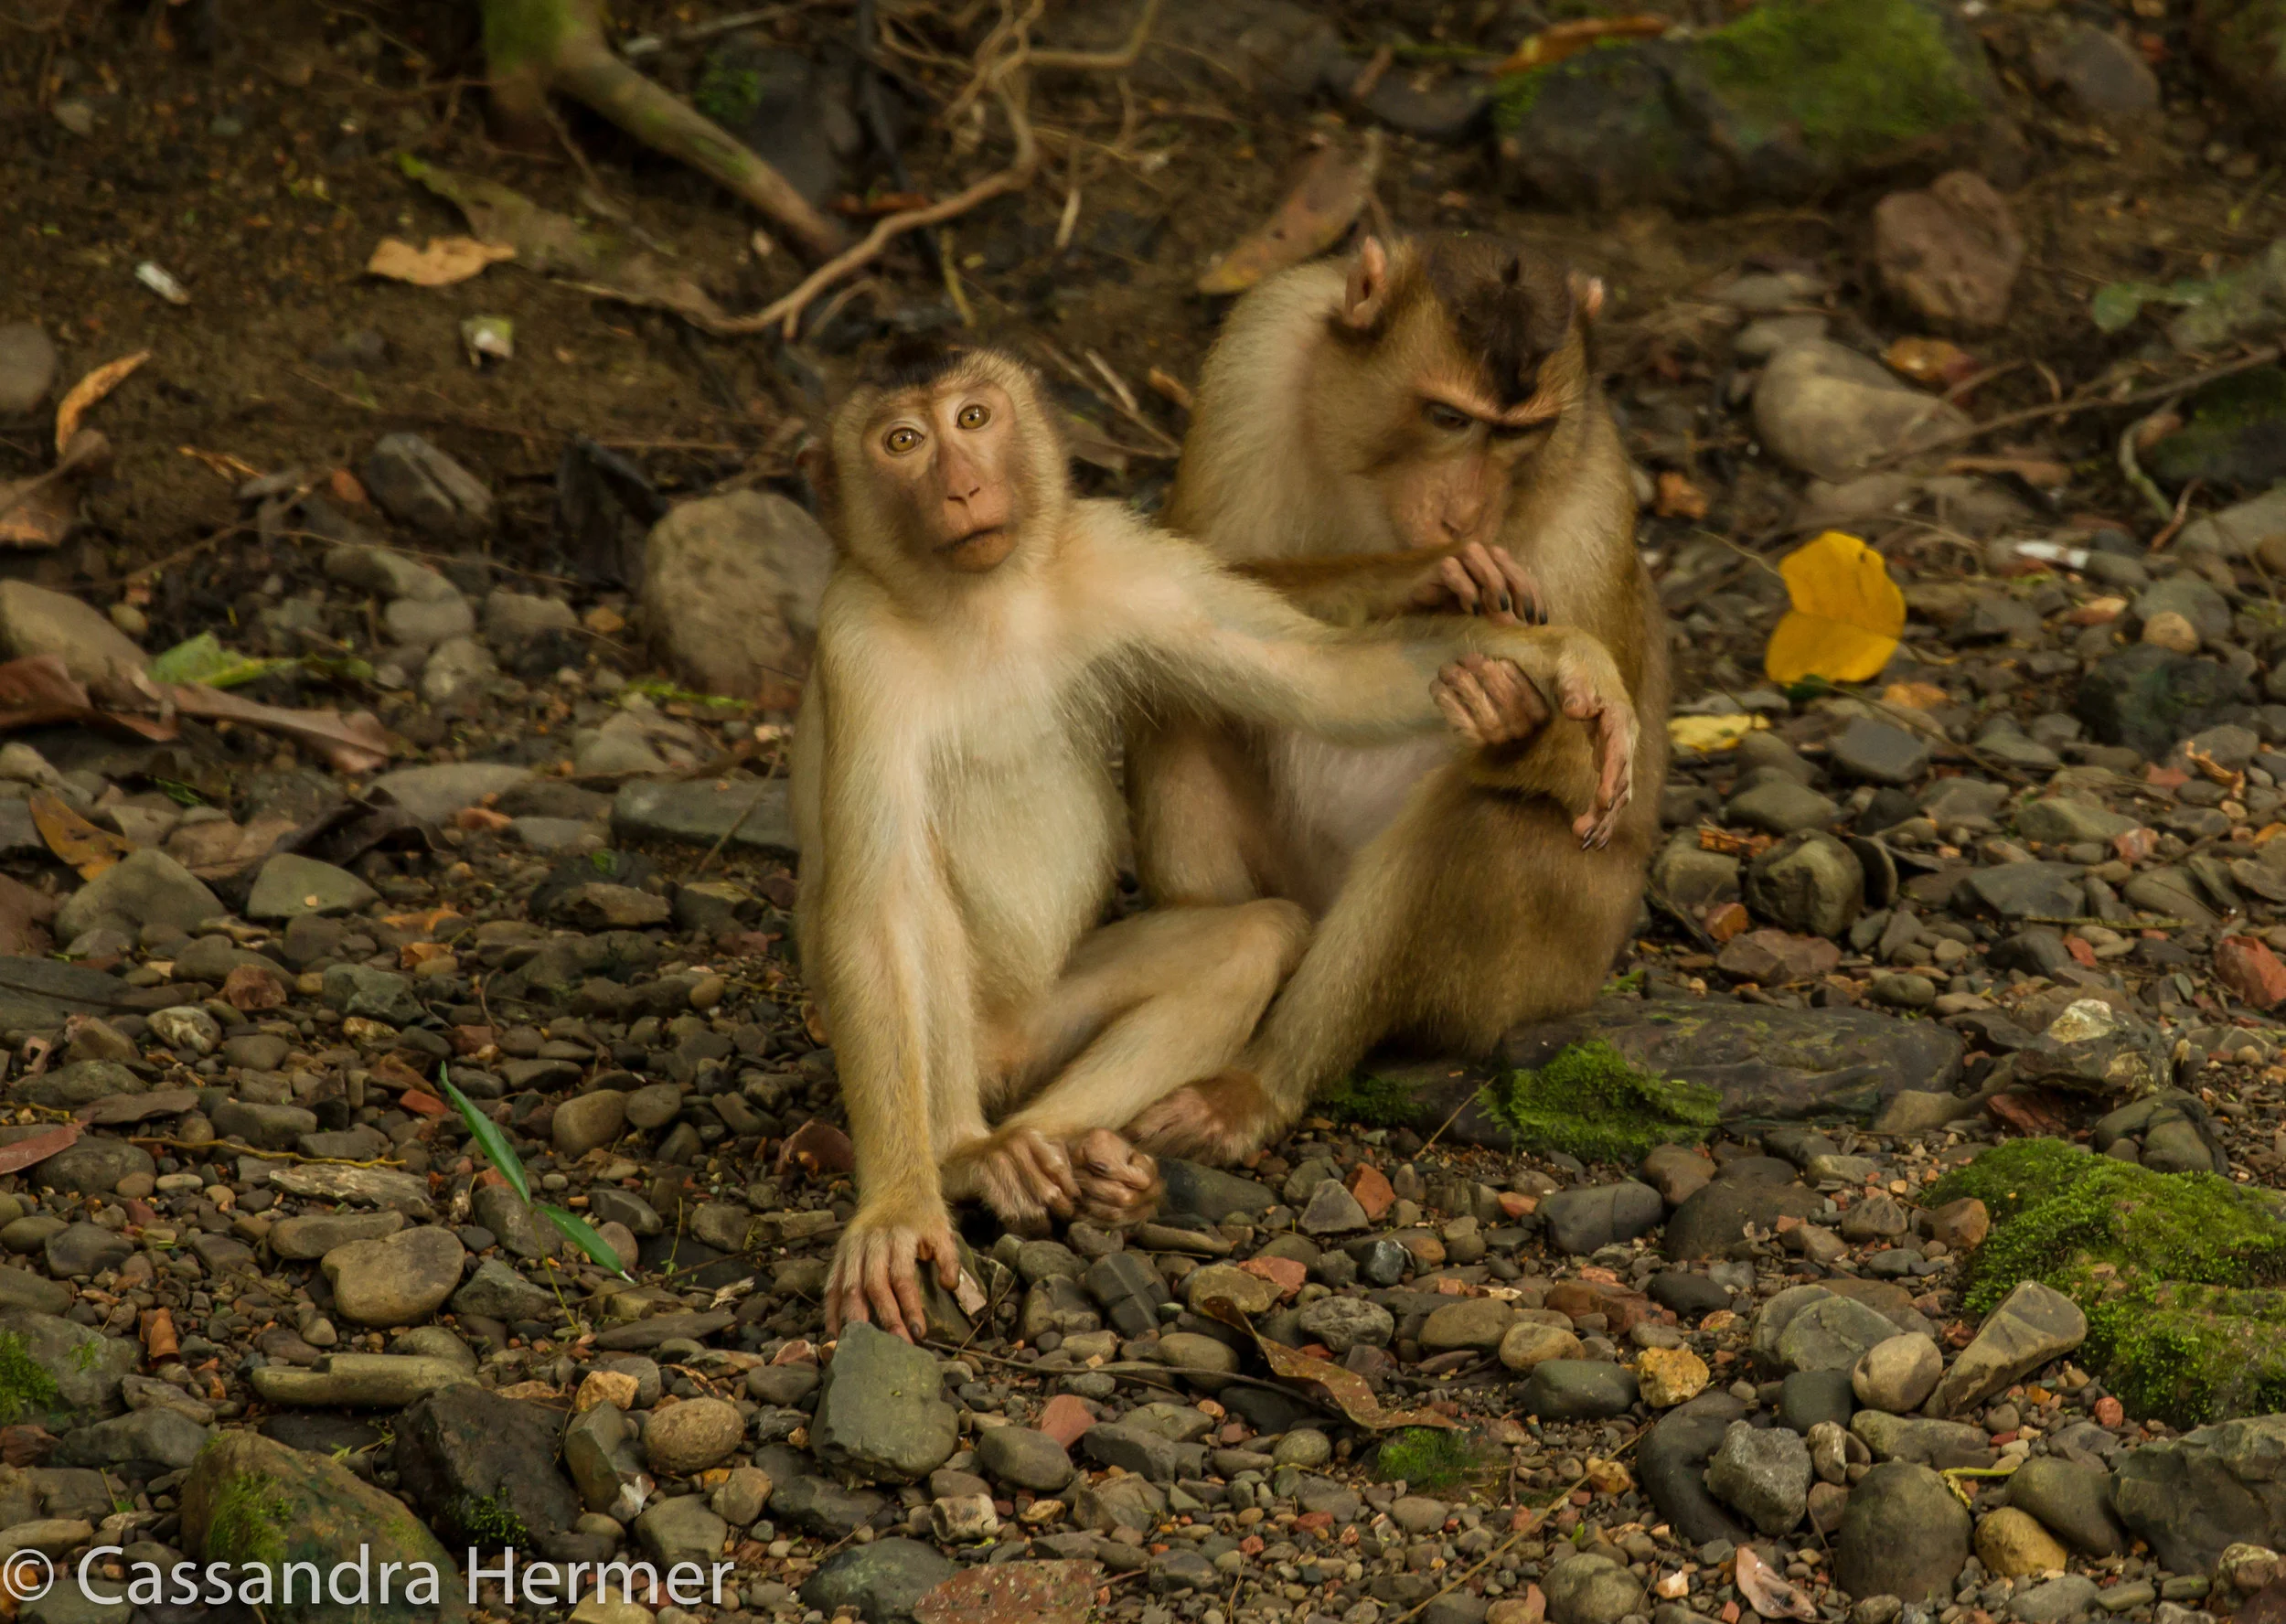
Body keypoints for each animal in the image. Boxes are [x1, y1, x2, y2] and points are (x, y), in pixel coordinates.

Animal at [792, 339, 1639, 1339]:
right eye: (902, 441)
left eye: (972, 419)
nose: (962, 488)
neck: (982, 604)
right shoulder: (855, 644)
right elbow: (874, 915)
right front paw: (894, 1208)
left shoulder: (1112, 557)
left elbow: (1314, 675)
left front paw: (1559, 661)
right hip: (979, 1035)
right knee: (914, 910)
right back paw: (968, 1155)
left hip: (1045, 1027)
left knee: (1249, 939)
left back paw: (1074, 1158)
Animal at [1124, 231, 1671, 1164]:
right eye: (1449, 418)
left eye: (1520, 433)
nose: (1462, 517)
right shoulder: (1258, 351)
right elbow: (1185, 570)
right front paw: (1428, 576)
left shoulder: (1596, 494)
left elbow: (1584, 780)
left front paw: (1514, 721)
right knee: (1179, 694)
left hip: (1548, 973)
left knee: (1479, 827)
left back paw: (1258, 1086)